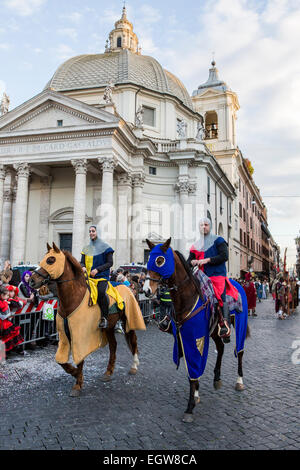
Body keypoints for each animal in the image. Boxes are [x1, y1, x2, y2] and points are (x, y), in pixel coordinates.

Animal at [30, 242, 143, 396]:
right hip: (109, 326)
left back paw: (134, 366)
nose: (31, 281)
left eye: (51, 260)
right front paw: (74, 373)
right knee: (113, 345)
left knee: (133, 340)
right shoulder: (64, 336)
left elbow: (80, 359)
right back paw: (108, 372)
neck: (73, 298)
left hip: (128, 321)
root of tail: (128, 288)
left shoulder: (80, 336)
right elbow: (61, 361)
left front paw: (78, 383)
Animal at [144, 239, 250, 422]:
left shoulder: (196, 337)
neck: (187, 298)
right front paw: (196, 395)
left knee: (240, 351)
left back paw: (239, 381)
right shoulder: (183, 338)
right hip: (214, 331)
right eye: (149, 258)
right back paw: (217, 378)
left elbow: (194, 368)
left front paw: (190, 407)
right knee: (221, 348)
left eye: (160, 260)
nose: (146, 290)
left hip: (240, 324)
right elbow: (191, 369)